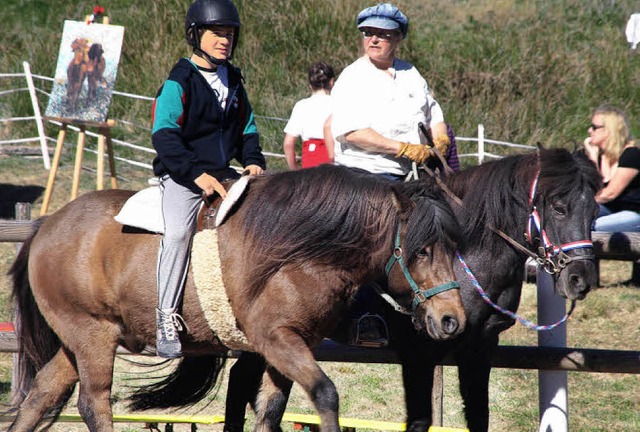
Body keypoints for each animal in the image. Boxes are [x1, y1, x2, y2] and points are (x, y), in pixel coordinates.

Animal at [7, 166, 468, 432]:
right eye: (422, 250)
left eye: (452, 246)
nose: (452, 319)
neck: (302, 251)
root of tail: (47, 225)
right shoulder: (277, 339)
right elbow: (325, 394)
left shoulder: (287, 347)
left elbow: (271, 409)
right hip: (94, 337)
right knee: (94, 403)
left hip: (76, 341)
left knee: (40, 397)